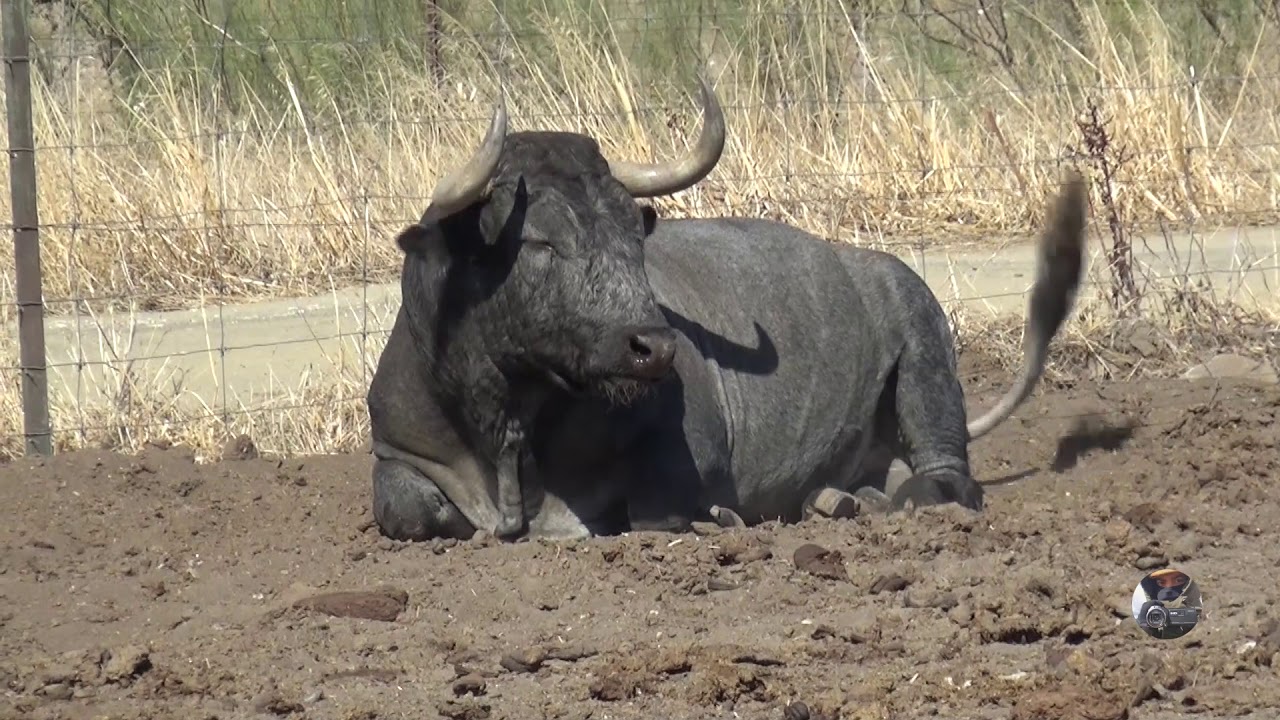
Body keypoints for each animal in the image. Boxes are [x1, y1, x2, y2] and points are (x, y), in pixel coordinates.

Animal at [365, 76, 1089, 543]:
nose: (653, 346)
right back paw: (837, 500)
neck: (509, 426)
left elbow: (652, 513)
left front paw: (717, 517)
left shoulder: (690, 454)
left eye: (632, 229)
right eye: (540, 240)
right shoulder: (395, 450)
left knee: (945, 470)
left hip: (922, 348)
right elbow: (405, 510)